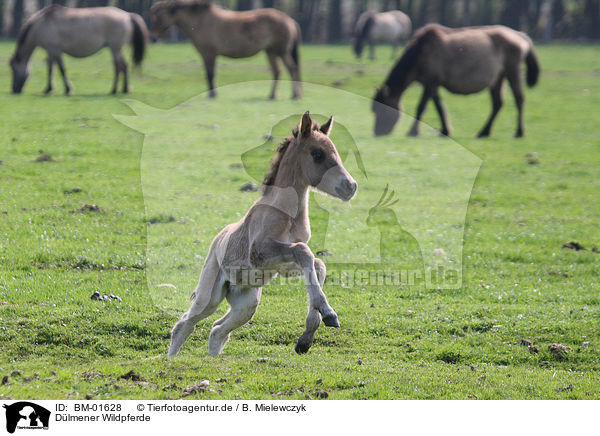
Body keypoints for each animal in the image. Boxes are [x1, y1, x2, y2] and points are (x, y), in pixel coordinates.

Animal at [9, 4, 148, 94]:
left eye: (14, 69)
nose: (14, 90)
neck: (42, 23)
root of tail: (127, 15)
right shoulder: (51, 51)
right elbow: (51, 69)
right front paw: (48, 89)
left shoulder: (54, 49)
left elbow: (61, 69)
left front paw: (67, 89)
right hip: (117, 49)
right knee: (123, 66)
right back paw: (124, 89)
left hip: (115, 48)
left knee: (119, 67)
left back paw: (114, 90)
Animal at [149, 0, 300, 99]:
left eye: (159, 16)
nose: (153, 37)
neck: (201, 20)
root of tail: (289, 20)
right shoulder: (207, 55)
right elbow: (210, 74)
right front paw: (213, 93)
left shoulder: (209, 54)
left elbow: (210, 74)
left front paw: (212, 94)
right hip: (271, 52)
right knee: (277, 71)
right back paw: (272, 95)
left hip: (281, 52)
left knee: (292, 69)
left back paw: (294, 95)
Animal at [166, 112, 356, 358]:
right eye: (317, 154)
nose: (350, 186)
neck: (286, 213)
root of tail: (217, 240)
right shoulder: (260, 254)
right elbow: (303, 251)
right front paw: (329, 314)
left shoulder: (282, 266)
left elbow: (317, 263)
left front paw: (306, 338)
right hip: (210, 296)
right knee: (185, 324)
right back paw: (170, 359)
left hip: (247, 304)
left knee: (217, 330)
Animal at [372, 23, 540, 138]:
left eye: (382, 109)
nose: (377, 132)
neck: (419, 54)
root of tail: (521, 36)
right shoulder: (432, 84)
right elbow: (439, 107)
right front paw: (445, 130)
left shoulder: (431, 82)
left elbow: (421, 107)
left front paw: (413, 131)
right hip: (498, 78)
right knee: (497, 104)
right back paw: (484, 131)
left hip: (512, 71)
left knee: (519, 100)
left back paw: (519, 132)